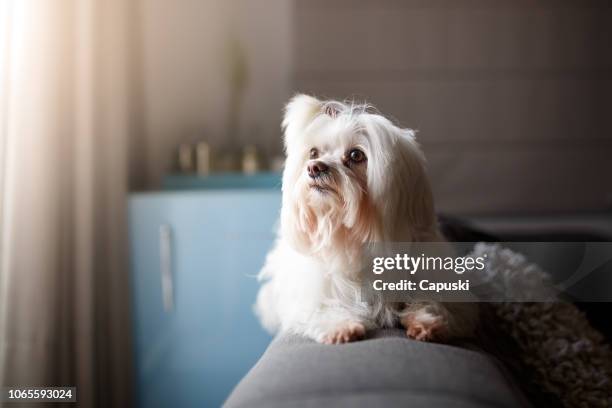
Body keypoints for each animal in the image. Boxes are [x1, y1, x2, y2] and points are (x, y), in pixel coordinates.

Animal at [256, 94, 476, 342]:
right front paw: (341, 326)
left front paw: (426, 321)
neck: (352, 238)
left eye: (355, 155)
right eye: (313, 153)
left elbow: (439, 303)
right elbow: (320, 306)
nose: (314, 167)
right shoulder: (309, 295)